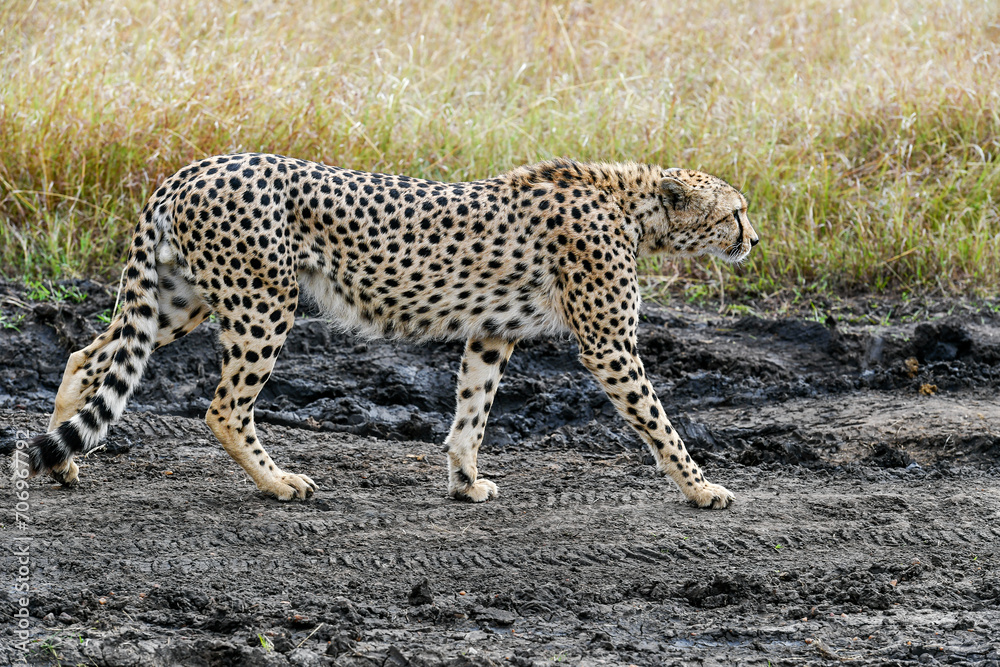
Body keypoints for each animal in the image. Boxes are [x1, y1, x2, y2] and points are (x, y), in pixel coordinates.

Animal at [26, 153, 758, 509]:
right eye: (736, 211)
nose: (753, 238)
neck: (635, 206)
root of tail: (196, 166)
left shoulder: (492, 332)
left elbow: (471, 413)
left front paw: (464, 483)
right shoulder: (609, 347)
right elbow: (660, 424)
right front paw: (702, 489)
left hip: (180, 300)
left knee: (88, 355)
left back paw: (60, 462)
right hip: (264, 301)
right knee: (224, 407)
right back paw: (280, 483)